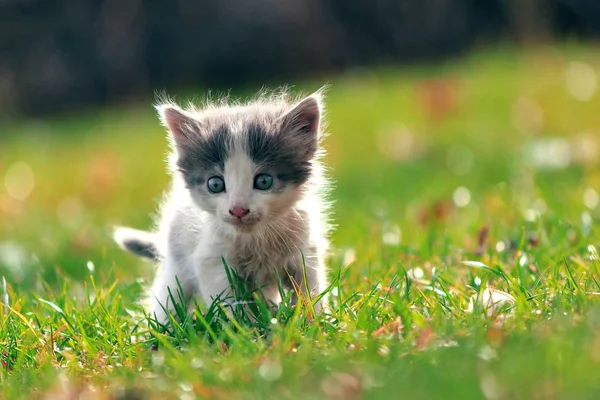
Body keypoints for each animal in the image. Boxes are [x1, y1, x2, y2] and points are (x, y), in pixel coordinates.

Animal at [112, 88, 332, 324]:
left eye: (264, 181)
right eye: (215, 184)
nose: (238, 210)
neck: (255, 238)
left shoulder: (306, 251)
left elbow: (309, 290)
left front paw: (312, 322)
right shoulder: (212, 259)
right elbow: (227, 300)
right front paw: (243, 327)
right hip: (177, 264)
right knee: (168, 297)